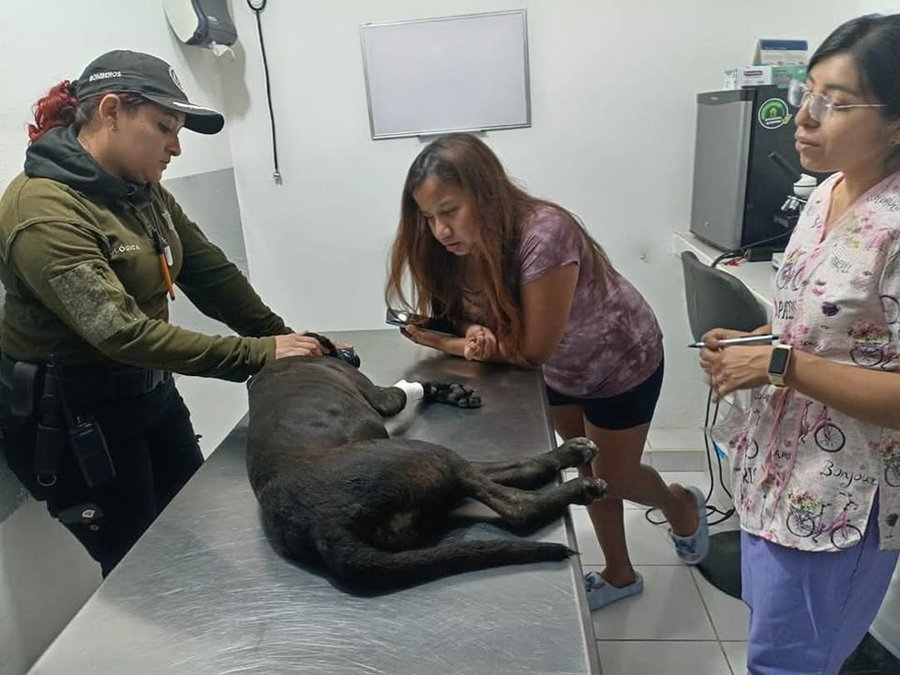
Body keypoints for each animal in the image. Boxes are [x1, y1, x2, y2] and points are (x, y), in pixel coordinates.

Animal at [246, 348, 608, 592]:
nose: (352, 353)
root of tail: (325, 526)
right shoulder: (383, 397)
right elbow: (404, 389)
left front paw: (452, 392)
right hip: (431, 456)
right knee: (518, 502)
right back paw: (577, 472)